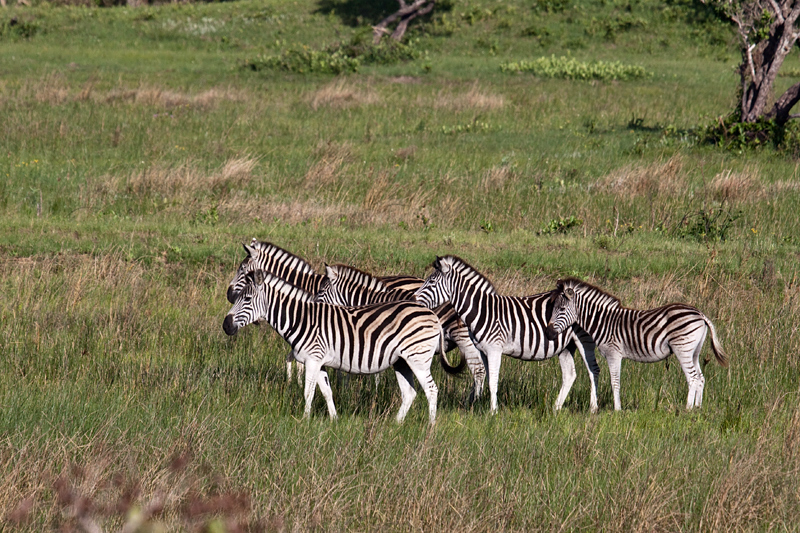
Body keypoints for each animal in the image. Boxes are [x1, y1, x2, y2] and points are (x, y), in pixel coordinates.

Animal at [223, 270, 444, 424]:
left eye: (247, 299)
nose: (226, 325)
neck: (301, 320)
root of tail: (431, 313)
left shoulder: (312, 360)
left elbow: (308, 392)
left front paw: (304, 422)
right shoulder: (319, 363)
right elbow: (326, 392)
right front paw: (334, 420)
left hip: (418, 358)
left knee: (431, 390)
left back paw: (430, 427)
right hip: (401, 361)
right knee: (409, 393)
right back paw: (395, 424)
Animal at [314, 264, 488, 402]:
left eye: (321, 291)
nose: (312, 305)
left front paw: (359, 391)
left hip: (463, 338)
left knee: (478, 370)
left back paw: (473, 402)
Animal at [416, 256, 596, 414]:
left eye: (431, 282)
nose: (414, 299)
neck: (483, 310)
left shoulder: (494, 349)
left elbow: (493, 381)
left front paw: (492, 412)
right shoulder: (482, 350)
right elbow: (487, 378)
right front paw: (480, 406)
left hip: (584, 341)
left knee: (592, 370)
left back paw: (592, 409)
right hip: (566, 346)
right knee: (570, 375)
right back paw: (555, 409)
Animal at [548, 276, 728, 410]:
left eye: (561, 309)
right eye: (553, 308)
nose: (549, 332)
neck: (603, 322)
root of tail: (700, 314)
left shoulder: (614, 354)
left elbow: (615, 382)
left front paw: (617, 410)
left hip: (682, 349)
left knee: (692, 379)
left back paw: (687, 410)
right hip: (694, 351)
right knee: (701, 378)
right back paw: (697, 408)